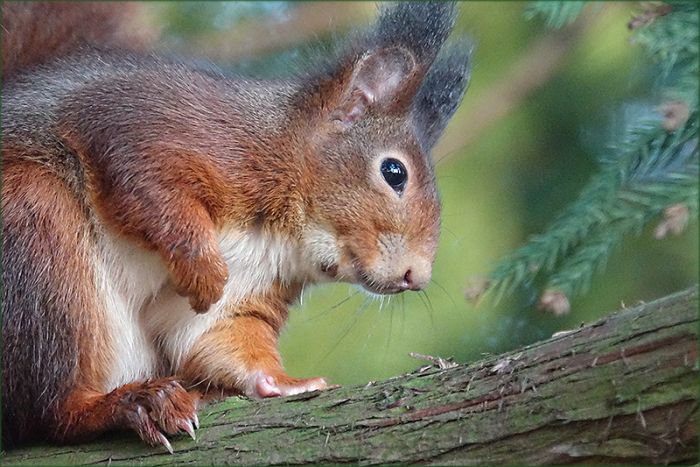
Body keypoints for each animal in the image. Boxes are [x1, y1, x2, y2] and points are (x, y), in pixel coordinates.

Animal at [1, 1, 471, 451]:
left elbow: (217, 335)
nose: (417, 276)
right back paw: (127, 404)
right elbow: (146, 183)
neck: (284, 234)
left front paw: (286, 382)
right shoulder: (157, 128)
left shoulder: (251, 287)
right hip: (35, 235)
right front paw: (204, 270)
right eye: (394, 172)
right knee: (48, 414)